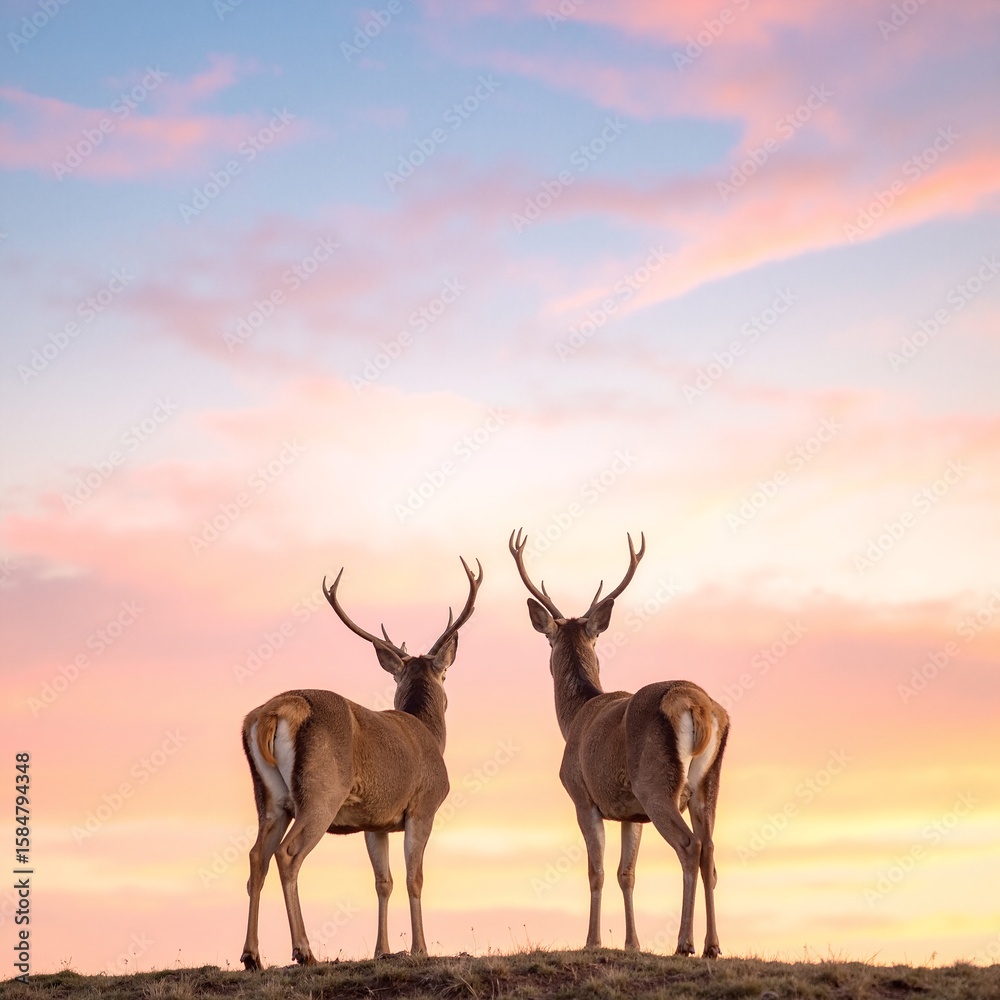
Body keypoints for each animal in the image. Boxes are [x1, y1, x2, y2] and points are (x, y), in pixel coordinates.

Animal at [239, 556, 483, 970]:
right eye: (446, 674)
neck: (431, 735)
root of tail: (274, 711)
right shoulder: (424, 805)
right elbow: (414, 877)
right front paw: (420, 948)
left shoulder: (376, 821)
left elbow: (383, 881)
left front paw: (382, 950)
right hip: (321, 792)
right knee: (287, 855)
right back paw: (304, 951)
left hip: (269, 797)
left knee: (257, 856)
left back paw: (251, 955)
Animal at [509, 530, 729, 958]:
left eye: (548, 643)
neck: (574, 718)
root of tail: (696, 705)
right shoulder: (630, 811)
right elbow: (626, 872)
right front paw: (632, 944)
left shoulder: (582, 795)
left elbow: (595, 870)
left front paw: (592, 941)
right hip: (708, 782)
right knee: (710, 850)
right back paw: (712, 946)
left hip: (656, 783)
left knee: (689, 846)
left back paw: (684, 943)